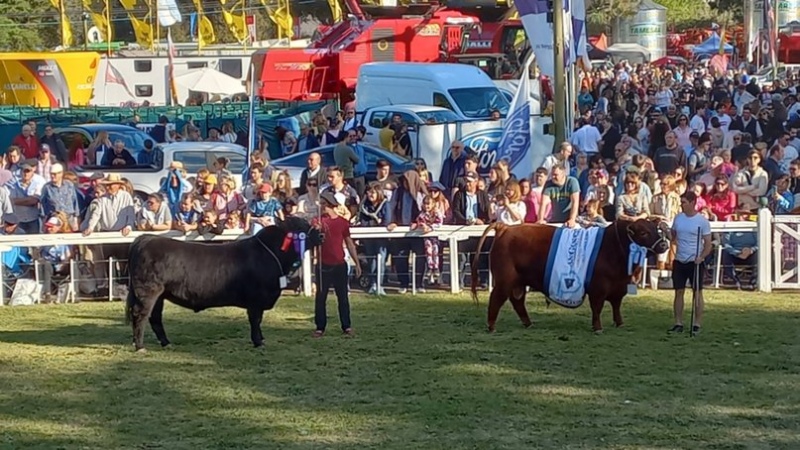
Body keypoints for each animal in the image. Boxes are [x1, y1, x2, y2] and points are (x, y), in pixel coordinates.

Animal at [125, 218, 322, 352]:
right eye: (300, 226)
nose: (321, 234)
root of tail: (146, 239)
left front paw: (261, 340)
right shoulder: (256, 299)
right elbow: (255, 320)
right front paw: (258, 342)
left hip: (160, 295)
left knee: (154, 317)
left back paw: (166, 343)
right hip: (149, 291)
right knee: (140, 315)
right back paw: (140, 346)